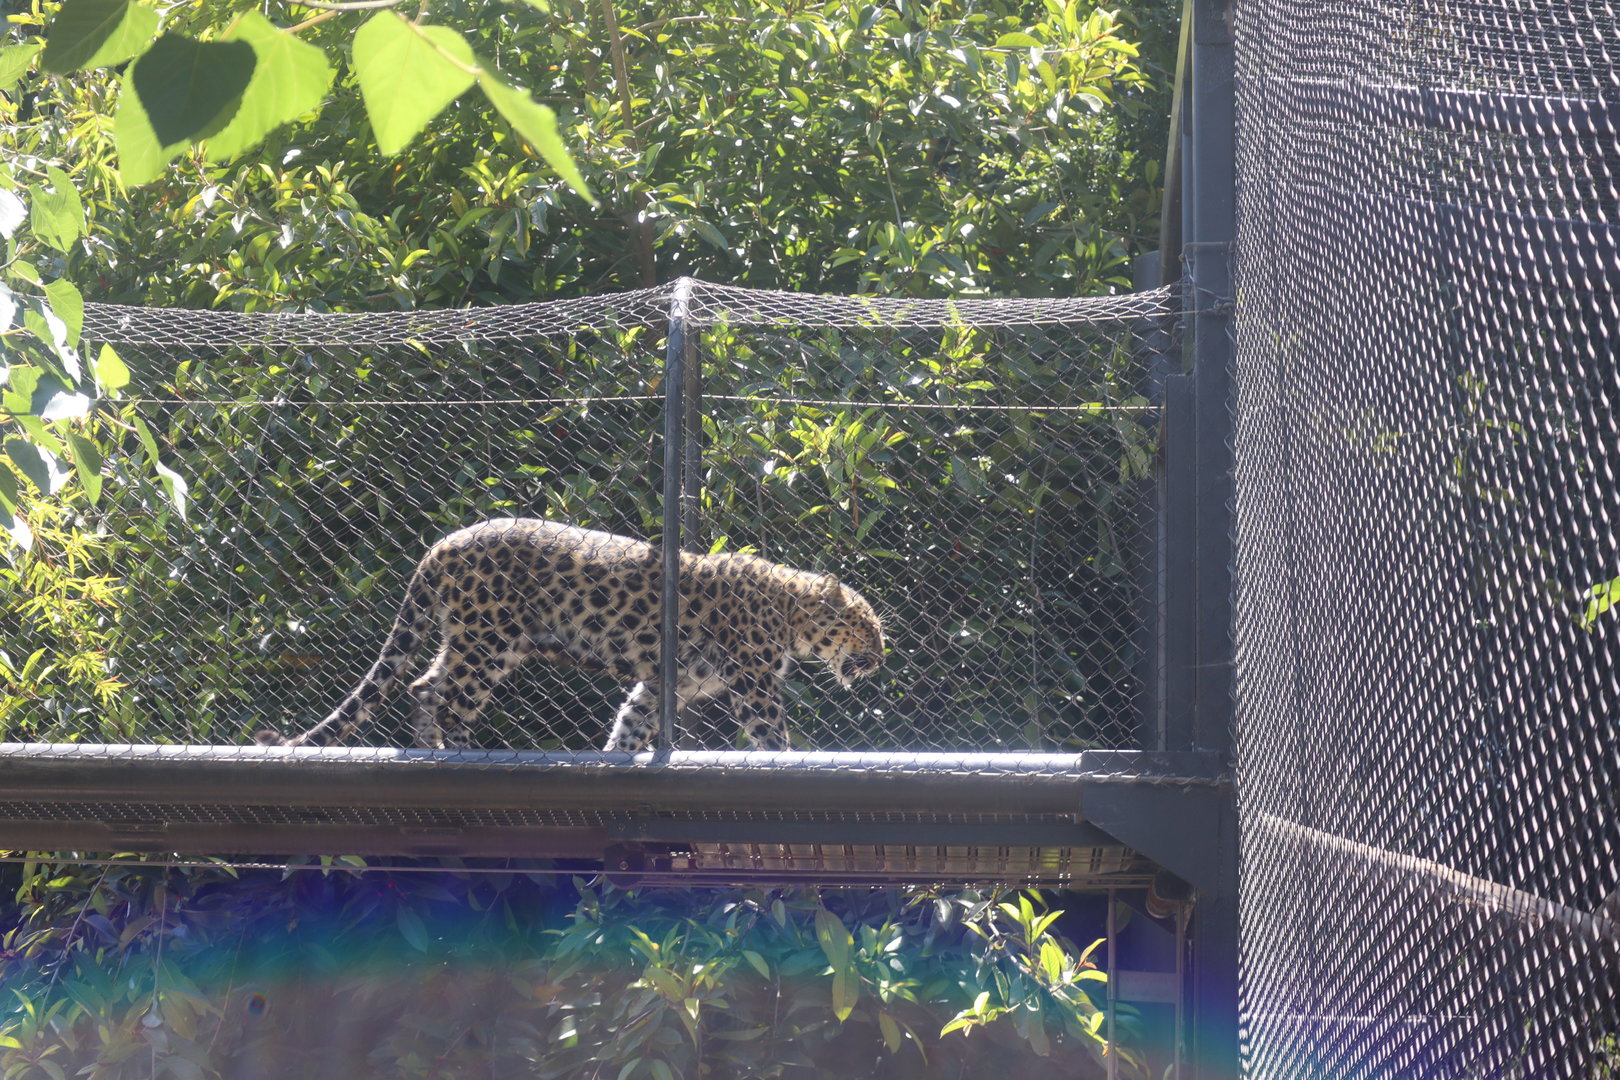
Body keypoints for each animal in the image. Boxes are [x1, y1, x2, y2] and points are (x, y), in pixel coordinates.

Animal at [253, 518, 885, 752]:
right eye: (867, 629)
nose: (882, 659)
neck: (789, 612)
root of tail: (442, 544)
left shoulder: (670, 682)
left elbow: (635, 718)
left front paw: (617, 754)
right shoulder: (753, 683)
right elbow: (771, 730)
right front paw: (786, 758)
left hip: (472, 637)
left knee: (424, 685)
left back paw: (429, 746)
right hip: (491, 637)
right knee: (446, 695)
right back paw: (458, 751)